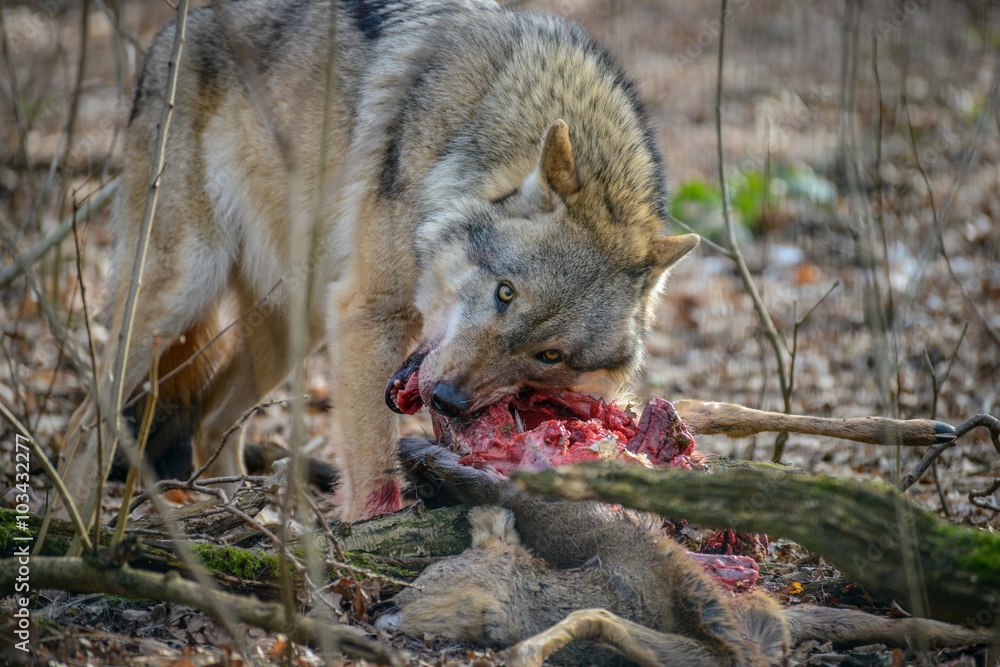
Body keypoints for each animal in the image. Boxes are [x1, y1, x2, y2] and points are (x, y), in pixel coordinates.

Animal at [57, 0, 700, 523]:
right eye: (505, 293)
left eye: (551, 356)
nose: (448, 401)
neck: (475, 138)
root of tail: (171, 30)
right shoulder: (368, 314)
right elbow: (372, 470)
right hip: (179, 294)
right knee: (86, 422)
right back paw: (72, 533)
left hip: (294, 328)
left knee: (211, 421)